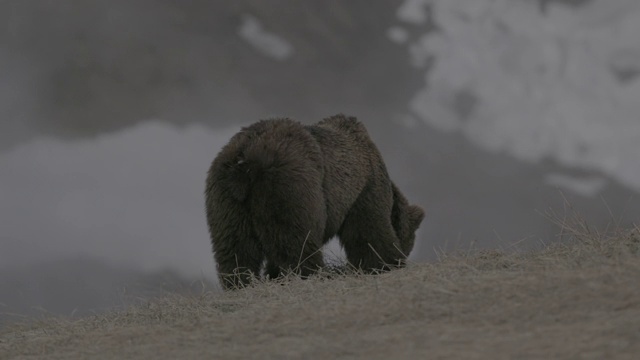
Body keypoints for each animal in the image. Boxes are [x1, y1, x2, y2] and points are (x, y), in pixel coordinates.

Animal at [205, 114, 424, 288]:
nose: (405, 254)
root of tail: (246, 159)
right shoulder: (363, 188)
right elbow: (369, 232)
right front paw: (385, 263)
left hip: (225, 199)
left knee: (234, 248)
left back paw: (239, 283)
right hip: (291, 189)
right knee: (296, 244)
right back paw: (315, 274)